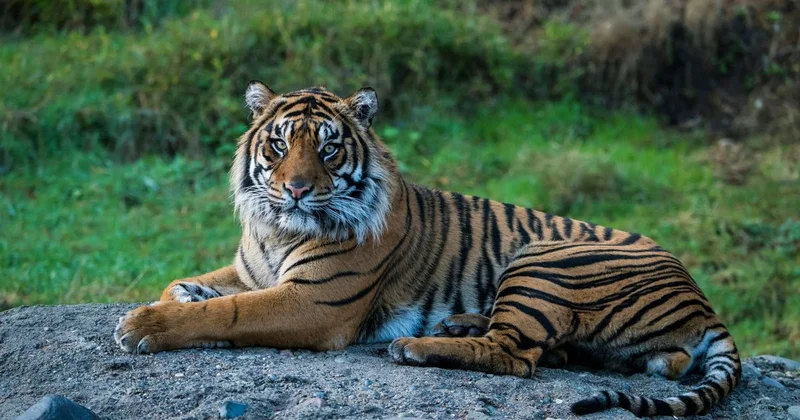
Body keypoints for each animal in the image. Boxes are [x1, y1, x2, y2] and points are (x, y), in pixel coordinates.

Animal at [113, 82, 741, 417]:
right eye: (280, 144)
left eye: (329, 149)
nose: (295, 189)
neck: (278, 229)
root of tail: (703, 299)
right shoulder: (251, 271)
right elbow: (188, 284)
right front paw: (180, 297)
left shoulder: (313, 303)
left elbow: (232, 311)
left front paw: (143, 325)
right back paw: (461, 326)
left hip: (544, 260)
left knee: (517, 356)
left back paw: (417, 346)